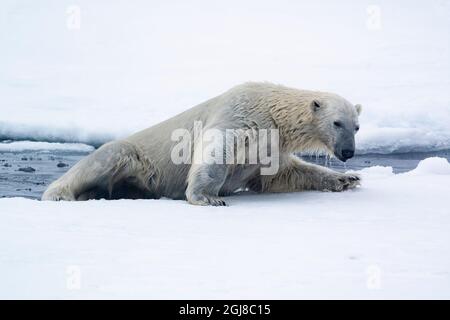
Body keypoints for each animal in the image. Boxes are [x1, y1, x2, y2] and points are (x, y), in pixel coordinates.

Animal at [43, 82, 362, 205]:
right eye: (337, 123)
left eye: (357, 127)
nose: (348, 152)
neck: (272, 109)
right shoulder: (239, 113)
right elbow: (216, 150)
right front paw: (208, 197)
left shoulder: (269, 152)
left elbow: (285, 174)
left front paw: (347, 179)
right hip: (135, 156)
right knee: (107, 156)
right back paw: (60, 194)